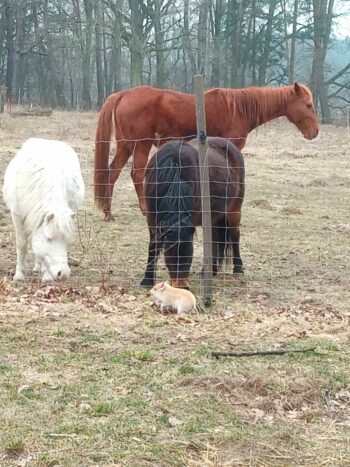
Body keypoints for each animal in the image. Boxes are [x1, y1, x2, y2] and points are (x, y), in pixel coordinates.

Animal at [2, 136, 85, 282]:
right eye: (49, 239)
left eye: (66, 240)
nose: (63, 274)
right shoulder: (17, 216)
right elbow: (22, 245)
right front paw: (19, 275)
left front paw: (46, 277)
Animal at [94, 82, 318, 221]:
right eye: (308, 105)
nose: (315, 132)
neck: (239, 109)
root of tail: (123, 94)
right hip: (141, 145)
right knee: (137, 175)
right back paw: (144, 209)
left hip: (125, 145)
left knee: (112, 173)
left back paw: (108, 212)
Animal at [141, 136, 245, 288]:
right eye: (171, 253)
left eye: (189, 253)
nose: (182, 286)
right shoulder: (152, 218)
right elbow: (153, 245)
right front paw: (147, 279)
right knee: (215, 238)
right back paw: (211, 271)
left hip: (234, 209)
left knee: (234, 235)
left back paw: (238, 269)